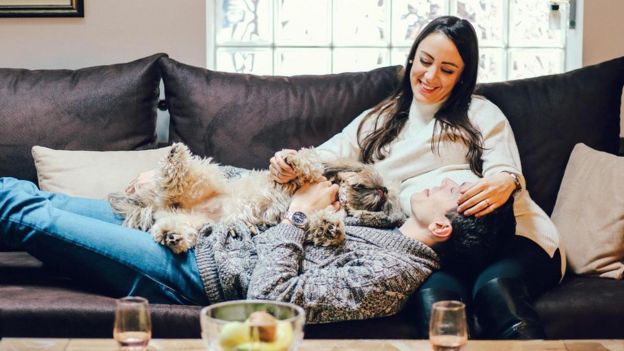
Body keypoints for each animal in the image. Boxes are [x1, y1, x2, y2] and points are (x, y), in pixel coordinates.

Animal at [108, 144, 404, 254]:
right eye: (370, 174)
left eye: (386, 201)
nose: (383, 190)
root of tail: (161, 204)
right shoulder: (300, 179)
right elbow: (306, 165)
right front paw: (292, 162)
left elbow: (321, 219)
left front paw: (328, 228)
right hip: (203, 177)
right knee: (173, 177)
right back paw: (173, 158)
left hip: (192, 219)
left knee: (171, 224)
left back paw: (172, 236)